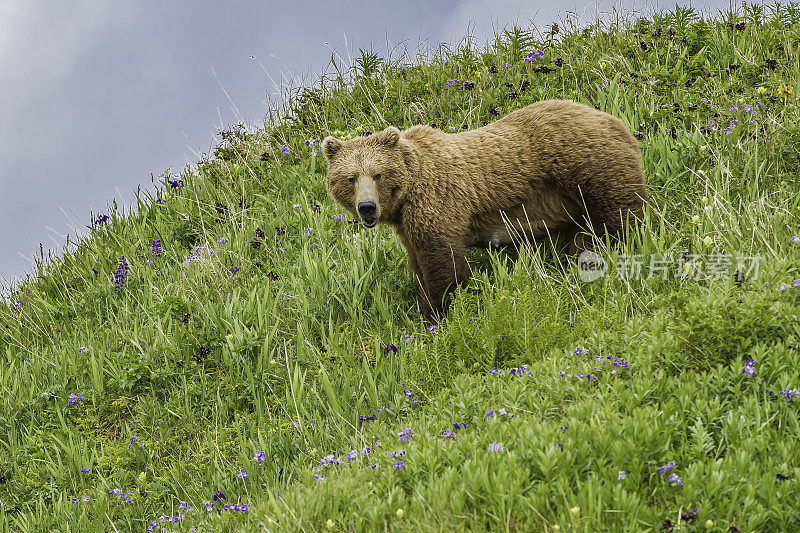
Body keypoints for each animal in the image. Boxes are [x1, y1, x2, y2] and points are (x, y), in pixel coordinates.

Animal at [322, 100, 648, 324]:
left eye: (377, 174)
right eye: (350, 177)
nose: (367, 207)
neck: (408, 192)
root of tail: (616, 122)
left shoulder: (439, 203)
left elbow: (444, 265)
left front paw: (447, 311)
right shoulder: (409, 225)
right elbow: (420, 268)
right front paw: (428, 313)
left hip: (589, 167)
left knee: (620, 215)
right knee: (584, 234)